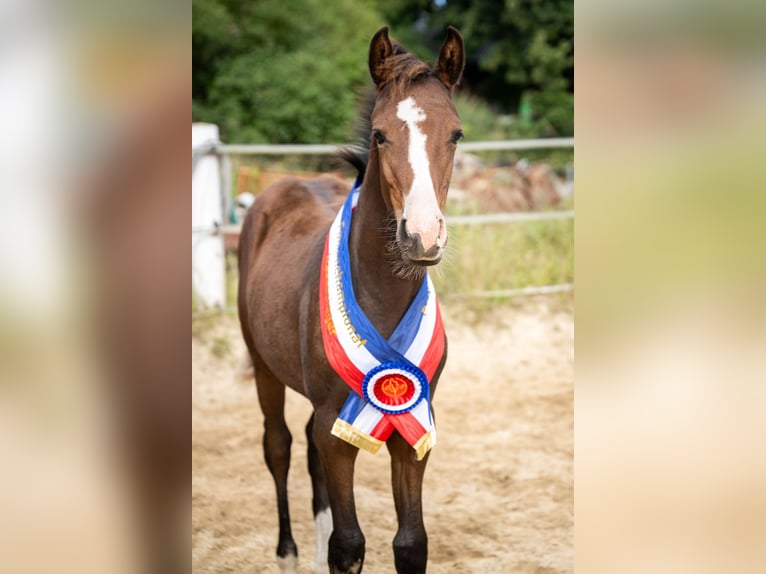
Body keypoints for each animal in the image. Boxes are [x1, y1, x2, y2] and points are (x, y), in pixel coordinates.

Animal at [237, 26, 465, 574]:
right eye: (380, 134)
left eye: (456, 134)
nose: (422, 237)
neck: (380, 296)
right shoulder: (336, 431)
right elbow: (349, 546)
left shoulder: (415, 426)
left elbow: (410, 543)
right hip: (264, 366)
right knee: (279, 445)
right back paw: (289, 553)